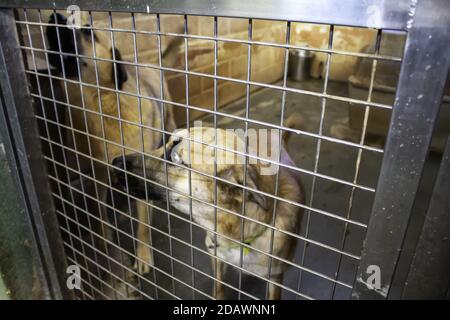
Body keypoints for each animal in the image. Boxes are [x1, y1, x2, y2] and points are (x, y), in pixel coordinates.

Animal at [45, 12, 179, 274]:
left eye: (88, 31)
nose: (54, 15)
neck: (105, 103)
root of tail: (147, 64)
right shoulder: (98, 173)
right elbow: (98, 208)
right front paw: (102, 235)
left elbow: (142, 226)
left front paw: (143, 256)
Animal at [111, 114, 306, 298]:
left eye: (174, 157)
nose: (115, 163)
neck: (237, 235)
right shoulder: (216, 257)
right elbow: (218, 287)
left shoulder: (276, 277)